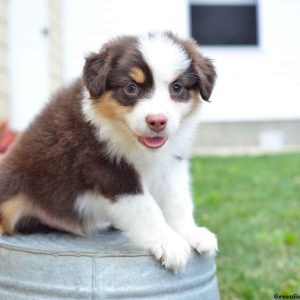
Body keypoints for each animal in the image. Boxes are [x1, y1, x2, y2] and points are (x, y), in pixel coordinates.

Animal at [0, 32, 218, 272]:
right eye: (131, 88)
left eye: (177, 88)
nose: (157, 121)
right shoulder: (106, 167)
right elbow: (145, 207)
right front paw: (168, 242)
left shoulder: (170, 163)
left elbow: (178, 200)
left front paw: (191, 233)